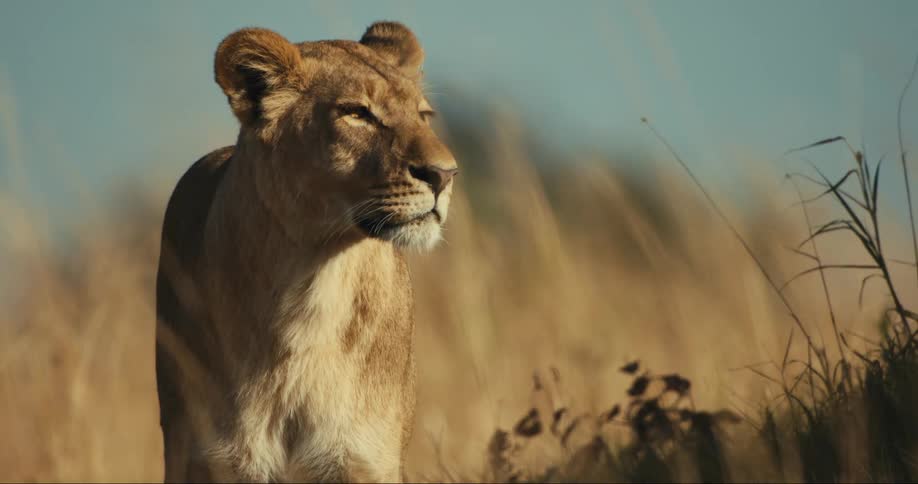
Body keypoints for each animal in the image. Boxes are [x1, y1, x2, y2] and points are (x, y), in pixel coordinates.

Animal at [154, 21, 457, 482]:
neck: (314, 282)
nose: (444, 174)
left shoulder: (364, 458)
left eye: (423, 116)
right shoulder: (219, 459)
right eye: (357, 113)